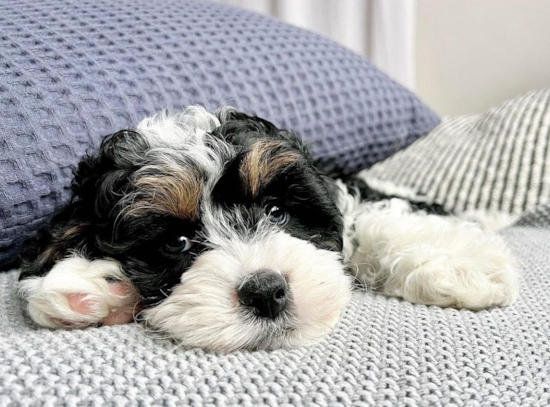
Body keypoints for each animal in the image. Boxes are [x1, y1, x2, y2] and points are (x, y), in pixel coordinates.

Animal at [16, 107, 516, 352]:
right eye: (176, 242)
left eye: (276, 212)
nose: (266, 291)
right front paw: (90, 285)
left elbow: (367, 218)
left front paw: (463, 264)